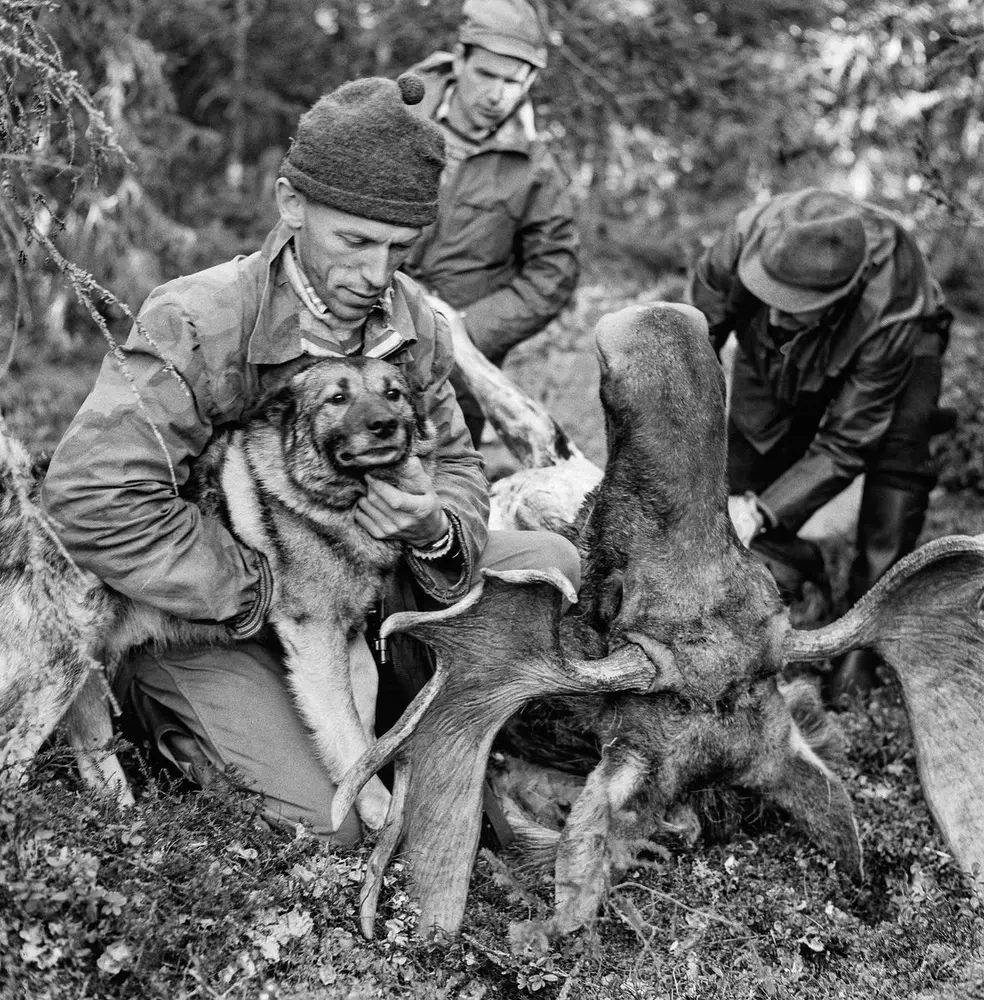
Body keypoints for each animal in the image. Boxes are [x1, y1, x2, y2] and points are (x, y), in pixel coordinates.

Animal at [0, 356, 434, 832]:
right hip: (56, 672)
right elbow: (349, 736)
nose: (384, 424)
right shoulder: (317, 640)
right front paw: (377, 809)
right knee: (13, 758)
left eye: (393, 393)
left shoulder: (351, 642)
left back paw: (122, 819)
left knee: (90, 744)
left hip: (88, 667)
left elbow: (366, 727)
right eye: (337, 398)